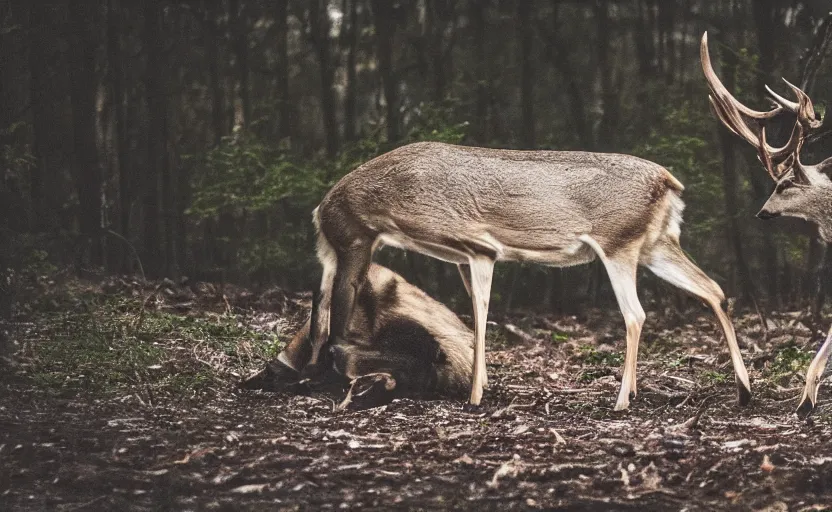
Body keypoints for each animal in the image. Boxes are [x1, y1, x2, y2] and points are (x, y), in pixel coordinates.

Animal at [306, 124, 752, 412]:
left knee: (636, 314)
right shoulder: (460, 256)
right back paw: (744, 391)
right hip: (655, 244)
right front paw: (482, 385)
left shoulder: (477, 244)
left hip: (618, 243)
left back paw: (623, 401)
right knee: (714, 290)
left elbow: (480, 312)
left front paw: (475, 397)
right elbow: (475, 312)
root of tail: (668, 182)